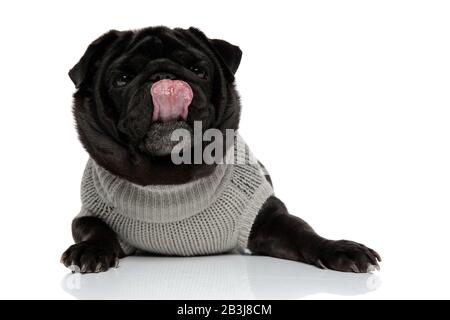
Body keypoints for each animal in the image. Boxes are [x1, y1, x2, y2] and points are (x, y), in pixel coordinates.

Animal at [62, 26, 380, 274]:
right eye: (122, 79)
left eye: (198, 71)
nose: (164, 76)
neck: (168, 179)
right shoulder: (89, 212)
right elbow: (95, 229)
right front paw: (90, 251)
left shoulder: (269, 217)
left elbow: (303, 232)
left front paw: (340, 249)